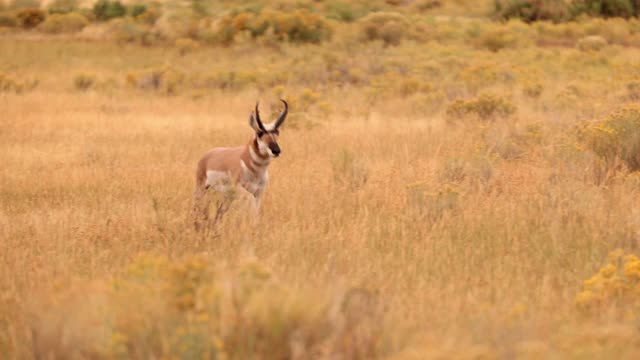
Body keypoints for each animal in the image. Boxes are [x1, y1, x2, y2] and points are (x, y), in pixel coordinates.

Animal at [191, 99, 288, 228]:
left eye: (277, 132)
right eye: (260, 133)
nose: (276, 151)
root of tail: (207, 155)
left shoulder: (258, 193)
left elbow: (256, 209)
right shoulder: (242, 191)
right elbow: (251, 203)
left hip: (226, 196)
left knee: (219, 212)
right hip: (202, 189)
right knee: (196, 206)